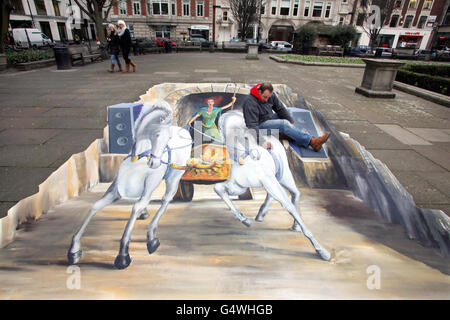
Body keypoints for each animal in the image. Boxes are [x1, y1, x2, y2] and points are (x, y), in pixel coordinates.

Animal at [67, 99, 192, 268]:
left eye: (168, 138)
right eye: (158, 134)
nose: (155, 164)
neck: (138, 157)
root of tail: (185, 132)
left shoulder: (150, 184)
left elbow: (136, 207)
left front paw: (123, 255)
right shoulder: (116, 189)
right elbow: (95, 206)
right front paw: (74, 250)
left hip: (174, 176)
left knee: (166, 200)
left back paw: (152, 238)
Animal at [213, 109, 332, 260]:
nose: (255, 154)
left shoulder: (268, 181)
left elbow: (289, 207)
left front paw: (322, 251)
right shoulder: (240, 187)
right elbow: (218, 188)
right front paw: (244, 219)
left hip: (284, 177)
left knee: (294, 193)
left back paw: (292, 225)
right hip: (276, 180)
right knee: (281, 194)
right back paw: (262, 214)